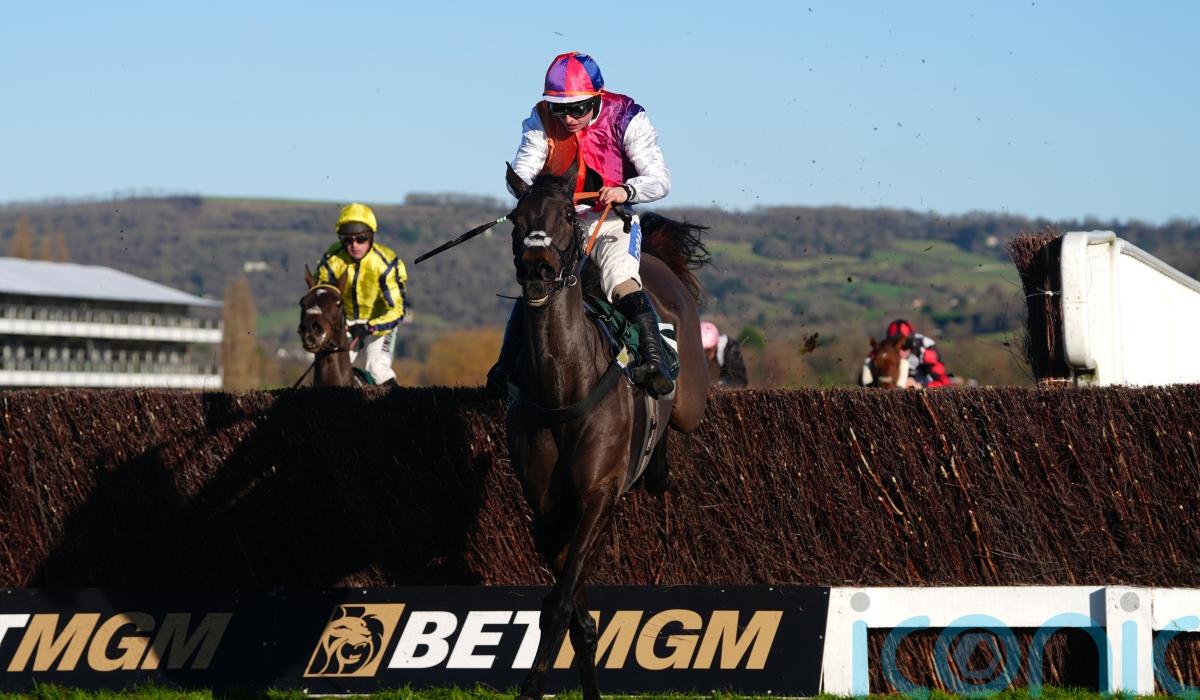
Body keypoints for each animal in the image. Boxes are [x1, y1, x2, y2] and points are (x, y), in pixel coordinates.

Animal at [503, 163, 709, 700]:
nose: (536, 269)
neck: (562, 386)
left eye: (564, 218)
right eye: (516, 219)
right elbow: (576, 612)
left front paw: (533, 686)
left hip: (690, 401)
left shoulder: (597, 492)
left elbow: (559, 606)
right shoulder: (547, 509)